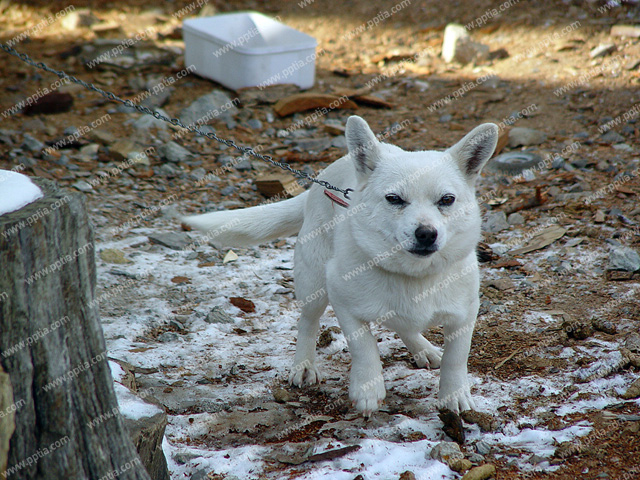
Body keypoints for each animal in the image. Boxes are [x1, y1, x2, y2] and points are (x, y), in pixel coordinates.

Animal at [182, 117, 498, 416]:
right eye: (394, 199)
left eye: (447, 200)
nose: (426, 234)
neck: (412, 274)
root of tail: (321, 180)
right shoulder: (343, 302)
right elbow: (364, 348)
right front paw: (368, 388)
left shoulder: (465, 314)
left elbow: (456, 358)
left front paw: (454, 395)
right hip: (313, 284)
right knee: (308, 323)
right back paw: (304, 365)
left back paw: (423, 349)